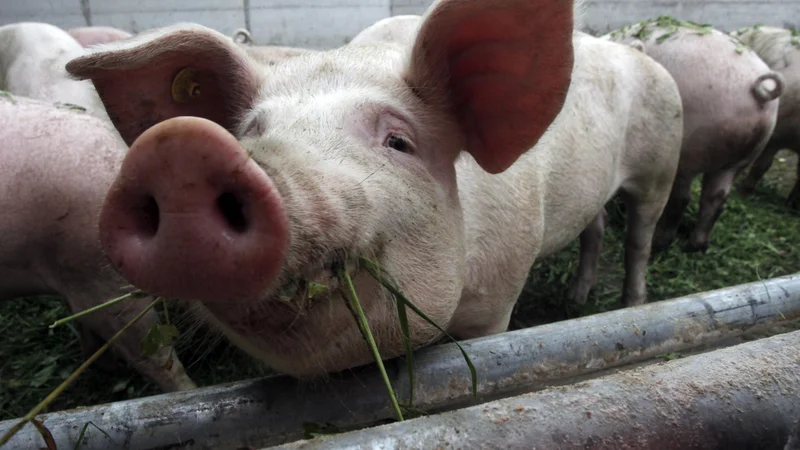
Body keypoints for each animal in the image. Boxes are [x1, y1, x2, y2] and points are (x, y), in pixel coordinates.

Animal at [65, 0, 680, 380]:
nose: (180, 148)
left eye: (399, 142)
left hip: (661, 163)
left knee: (640, 235)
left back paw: (631, 304)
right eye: (250, 133)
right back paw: (577, 298)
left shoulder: (499, 297)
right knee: (597, 224)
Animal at [604, 17, 784, 253]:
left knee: (681, 198)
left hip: (688, 152)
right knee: (716, 198)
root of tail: (756, 90)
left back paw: (660, 244)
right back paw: (695, 246)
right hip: (741, 158)